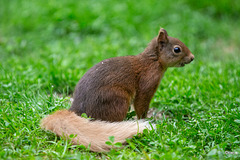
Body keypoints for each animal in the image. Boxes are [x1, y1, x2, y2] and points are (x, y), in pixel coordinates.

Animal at [41, 28, 194, 152]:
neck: (153, 61)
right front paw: (145, 120)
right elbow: (141, 105)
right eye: (177, 49)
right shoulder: (147, 85)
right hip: (118, 100)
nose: (192, 58)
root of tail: (76, 110)